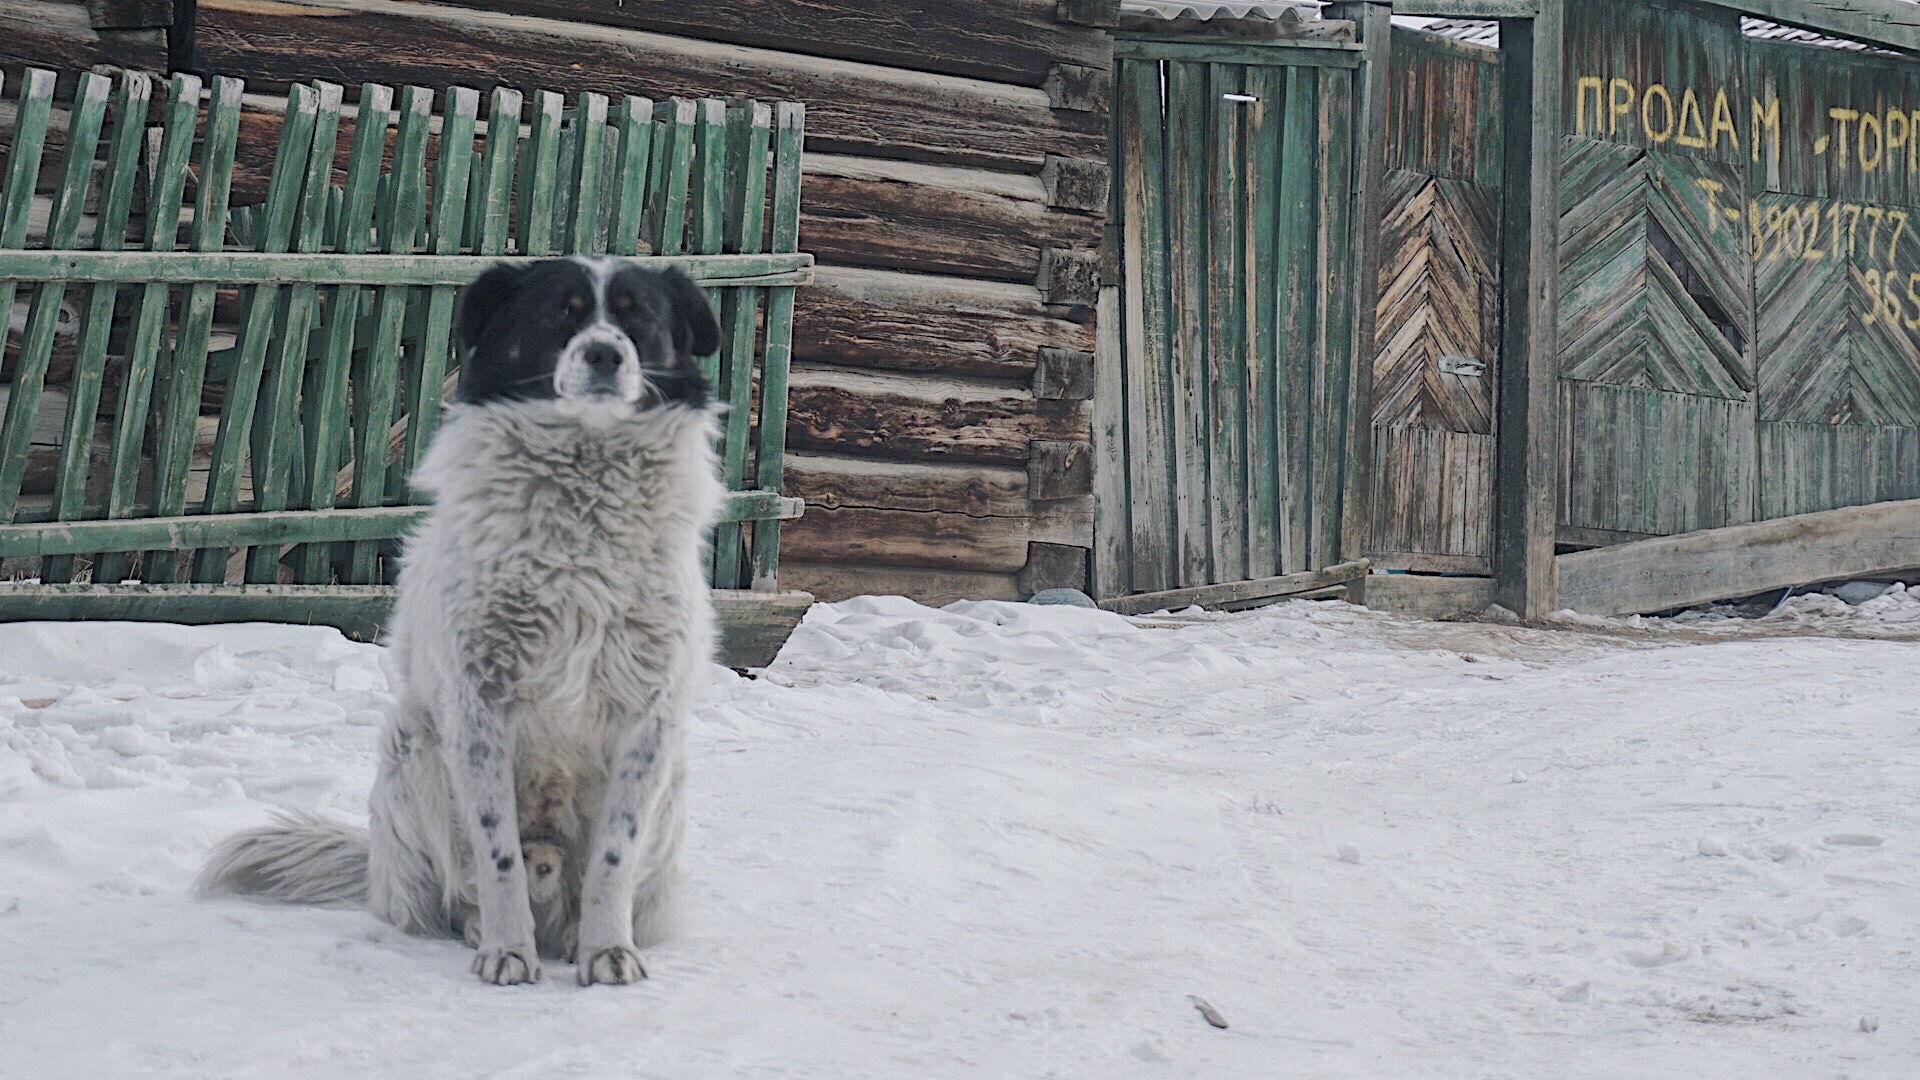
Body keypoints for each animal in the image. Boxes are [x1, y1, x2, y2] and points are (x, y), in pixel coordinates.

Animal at [200, 255, 725, 980]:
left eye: (636, 317)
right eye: (560, 315)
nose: (604, 354)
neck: (582, 513)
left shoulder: (647, 719)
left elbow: (613, 859)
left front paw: (608, 953)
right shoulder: (478, 708)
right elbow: (496, 855)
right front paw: (506, 952)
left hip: (670, 783)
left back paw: (576, 939)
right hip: (415, 746)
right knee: (459, 892)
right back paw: (487, 929)